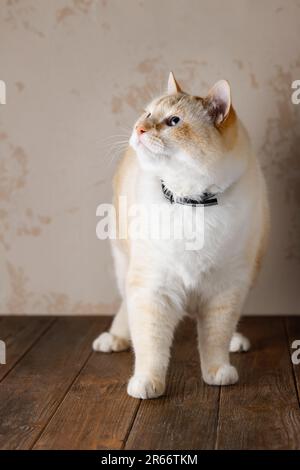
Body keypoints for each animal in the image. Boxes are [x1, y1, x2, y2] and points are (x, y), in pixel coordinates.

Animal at [92, 73, 270, 400]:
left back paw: (236, 342)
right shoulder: (152, 286)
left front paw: (217, 372)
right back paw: (114, 339)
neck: (192, 202)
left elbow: (215, 338)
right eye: (148, 114)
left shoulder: (225, 288)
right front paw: (148, 383)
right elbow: (151, 346)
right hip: (125, 266)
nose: (139, 129)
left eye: (174, 122)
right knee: (125, 309)